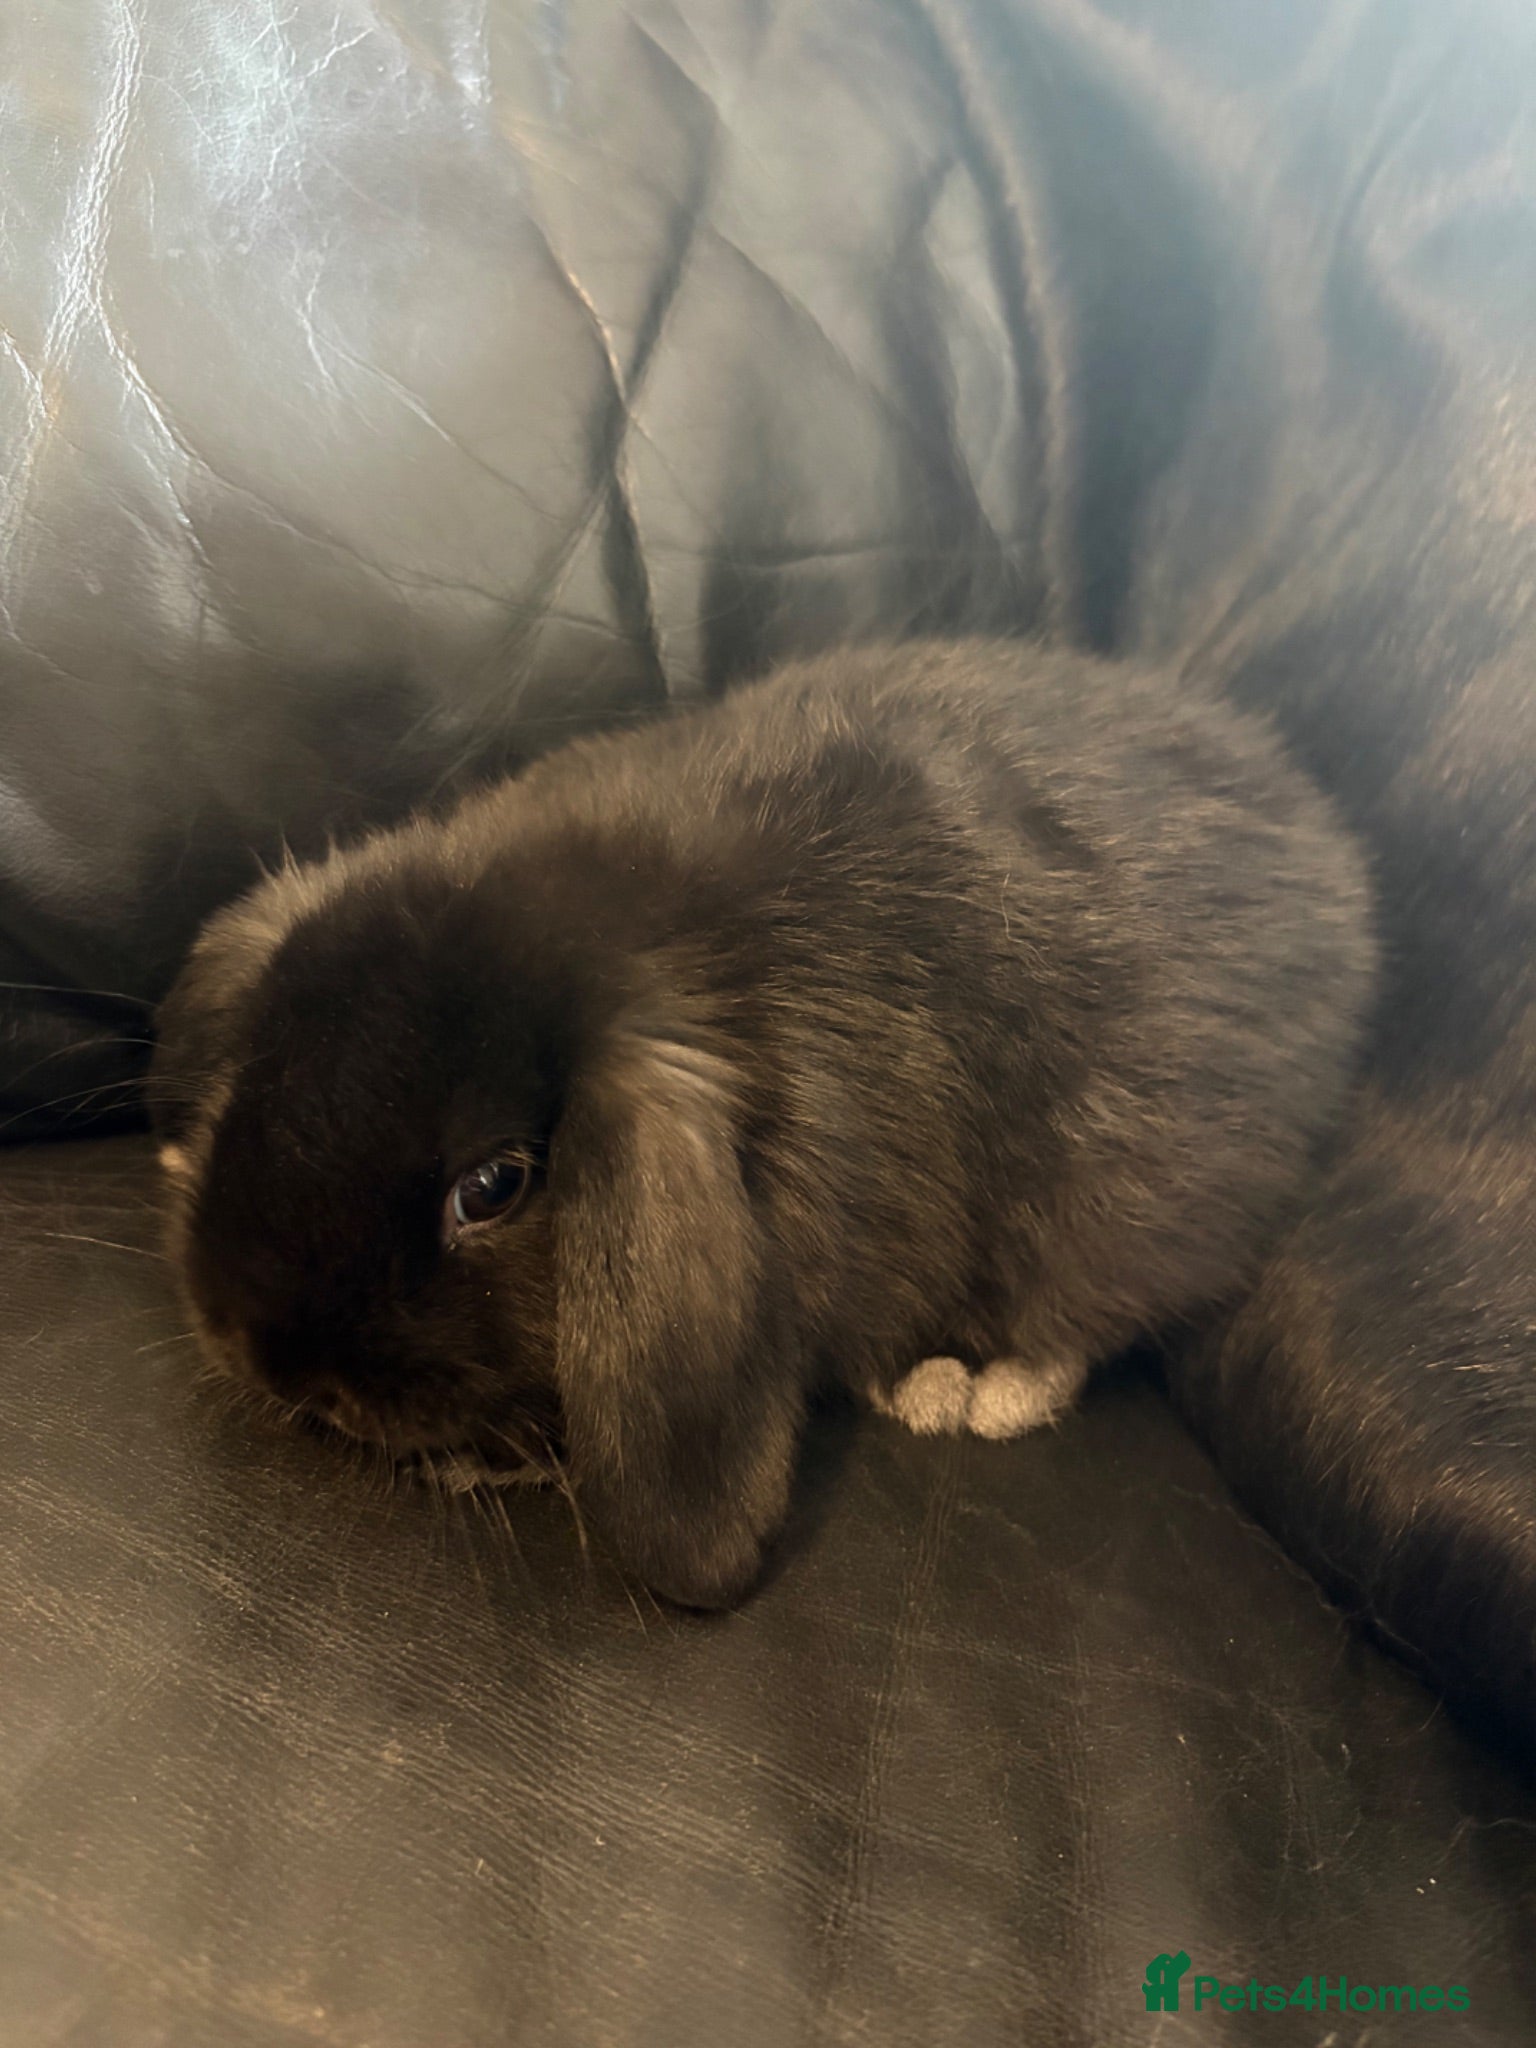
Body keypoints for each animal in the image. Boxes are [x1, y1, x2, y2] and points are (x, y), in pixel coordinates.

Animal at [151, 637, 1378, 1609]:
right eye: (256, 1073)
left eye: (492, 1187)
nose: (279, 1365)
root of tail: (1336, 866)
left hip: (1131, 1202)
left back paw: (967, 1391)